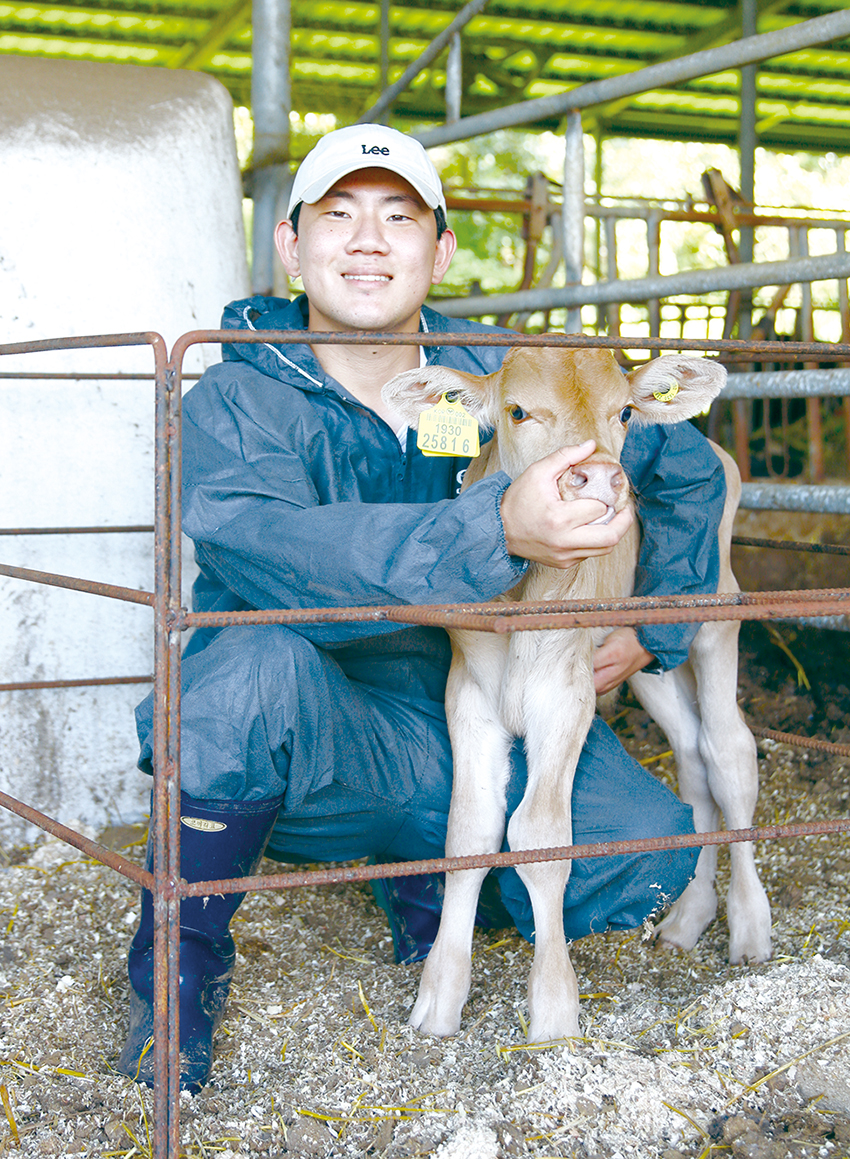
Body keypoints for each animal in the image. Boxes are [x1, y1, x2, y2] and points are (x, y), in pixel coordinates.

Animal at [382, 347, 769, 1047]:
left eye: (625, 412)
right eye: (517, 411)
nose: (600, 480)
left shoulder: (564, 695)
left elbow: (539, 836)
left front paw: (554, 1010)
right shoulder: (469, 695)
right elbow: (468, 831)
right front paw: (438, 999)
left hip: (714, 612)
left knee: (730, 753)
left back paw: (750, 928)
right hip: (646, 664)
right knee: (693, 753)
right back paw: (687, 918)